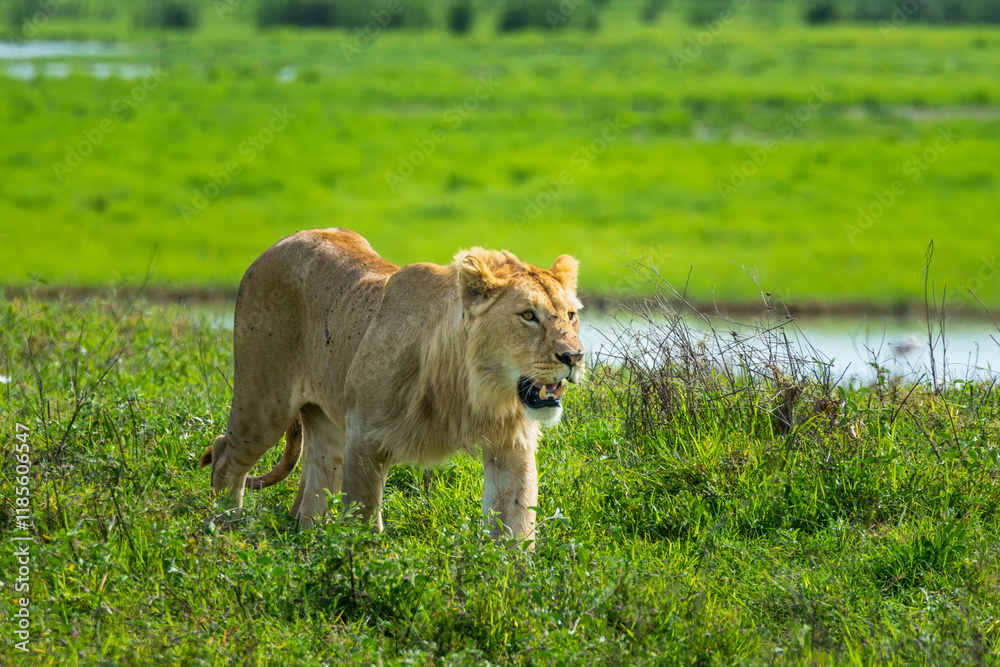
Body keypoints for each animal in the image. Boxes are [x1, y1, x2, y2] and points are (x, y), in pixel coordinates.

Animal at [201, 228, 585, 543]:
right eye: (528, 316)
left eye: (570, 315)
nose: (575, 356)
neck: (474, 391)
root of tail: (279, 243)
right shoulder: (365, 439)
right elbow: (362, 519)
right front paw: (359, 567)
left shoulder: (511, 446)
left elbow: (514, 527)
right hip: (264, 405)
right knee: (225, 456)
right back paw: (225, 529)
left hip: (327, 425)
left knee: (315, 486)